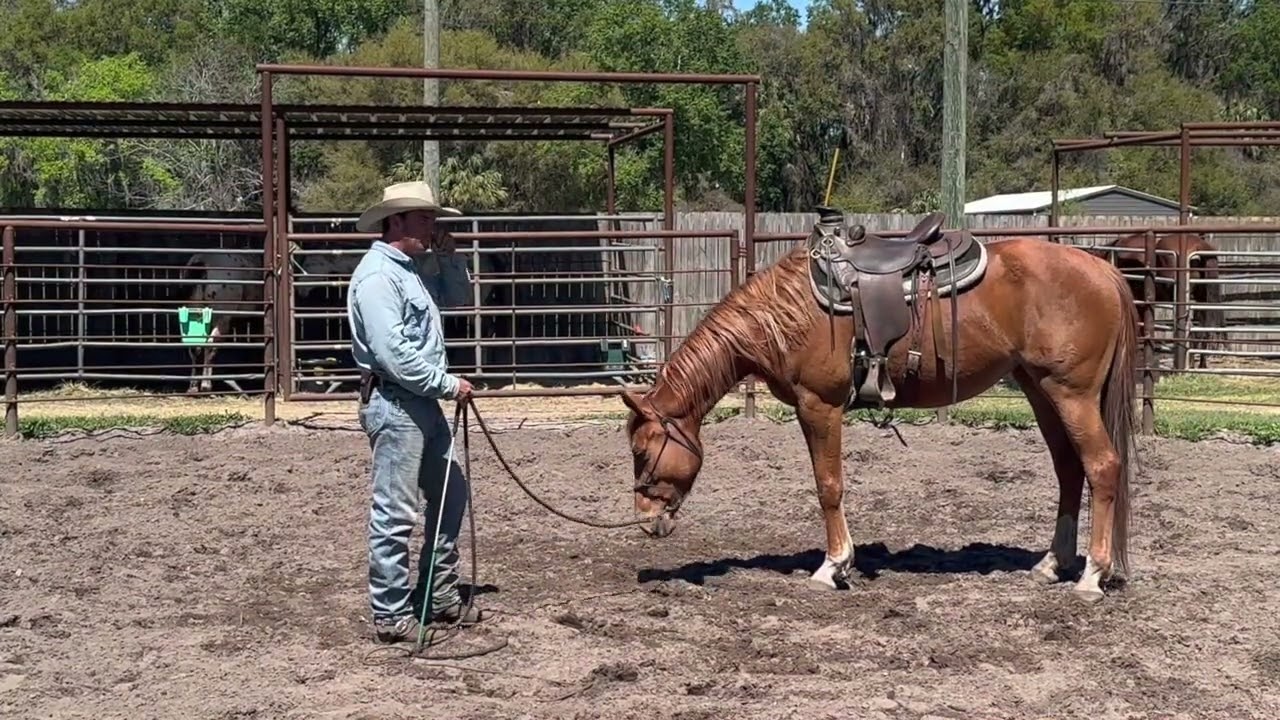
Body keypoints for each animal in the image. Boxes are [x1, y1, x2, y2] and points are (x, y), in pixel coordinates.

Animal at [619, 209, 1139, 604]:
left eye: (642, 452)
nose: (645, 522)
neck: (784, 313)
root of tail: (1102, 270)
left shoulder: (819, 406)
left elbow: (828, 486)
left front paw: (833, 566)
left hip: (1071, 394)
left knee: (1102, 466)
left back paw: (1092, 576)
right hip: (1040, 391)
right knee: (1070, 469)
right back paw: (1052, 564)